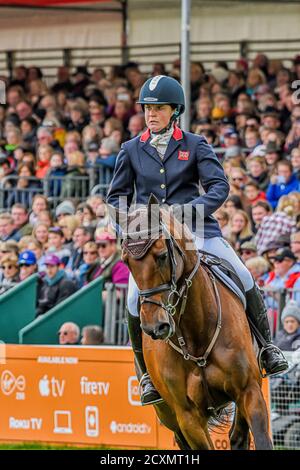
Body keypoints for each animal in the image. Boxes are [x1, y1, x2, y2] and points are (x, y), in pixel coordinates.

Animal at [119, 196, 272, 452]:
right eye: (126, 262)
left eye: (162, 255)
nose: (154, 328)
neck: (196, 333)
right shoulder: (188, 417)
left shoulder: (249, 390)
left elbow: (260, 439)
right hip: (169, 417)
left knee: (238, 435)